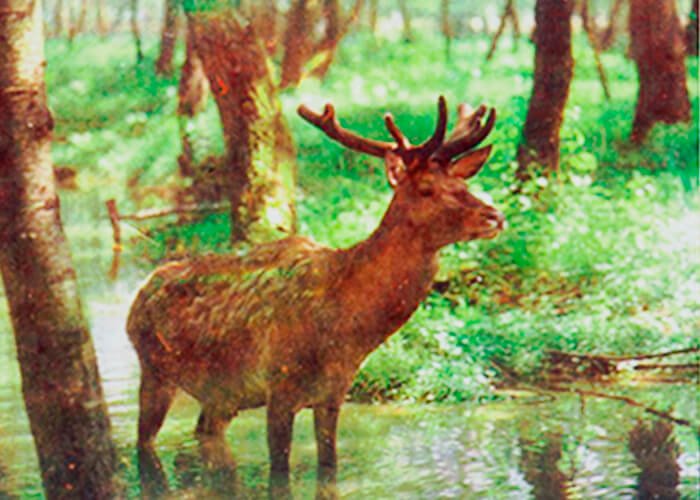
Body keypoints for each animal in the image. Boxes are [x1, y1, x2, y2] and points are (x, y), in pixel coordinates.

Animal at [126, 96, 503, 492]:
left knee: (204, 433)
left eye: (463, 181)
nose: (494, 216)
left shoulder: (332, 395)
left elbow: (329, 467)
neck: (347, 329)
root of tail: (139, 295)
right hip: (154, 369)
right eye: (427, 187)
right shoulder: (279, 387)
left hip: (221, 394)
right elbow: (280, 475)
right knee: (144, 441)